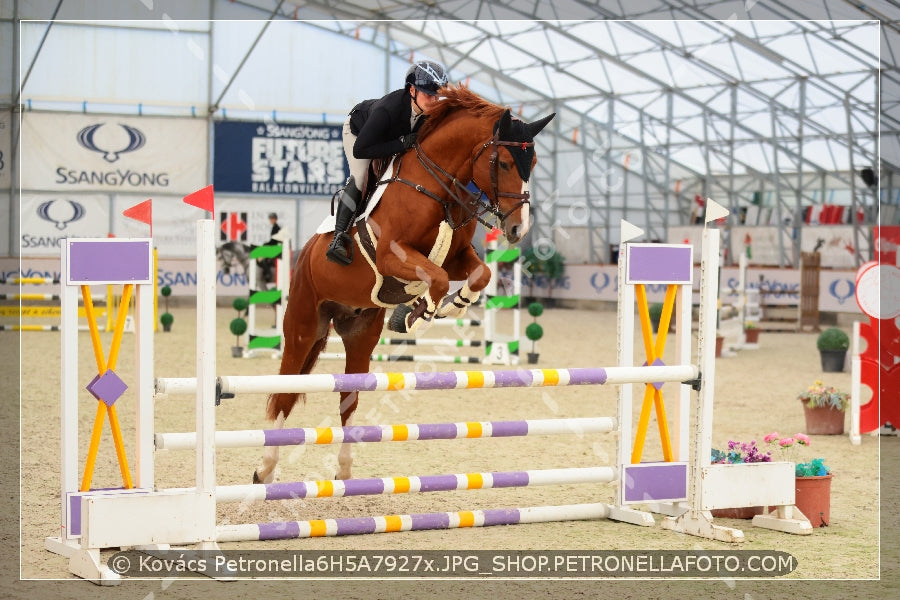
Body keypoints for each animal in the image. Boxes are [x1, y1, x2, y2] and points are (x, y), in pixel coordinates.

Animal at [250, 85, 552, 482]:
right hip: (303, 324)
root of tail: (304, 255)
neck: (438, 184)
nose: (519, 229)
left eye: (533, 164)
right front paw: (414, 313)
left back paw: (343, 470)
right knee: (285, 390)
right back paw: (265, 469)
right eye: (503, 164)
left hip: (360, 332)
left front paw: (444, 305)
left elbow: (478, 275)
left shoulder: (458, 257)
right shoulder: (392, 257)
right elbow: (434, 278)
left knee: (348, 399)